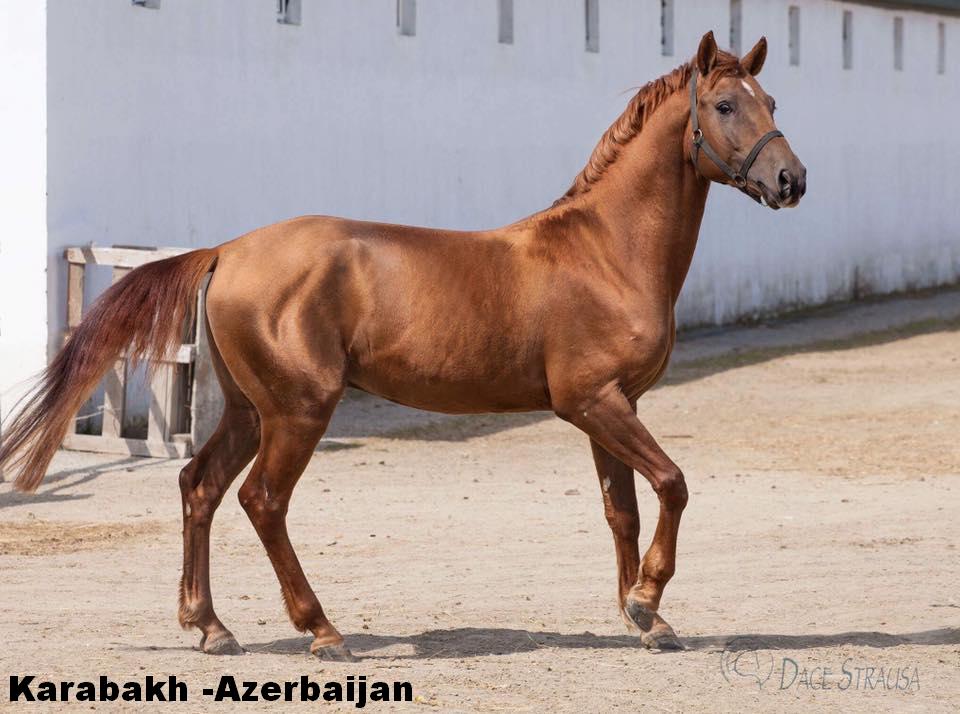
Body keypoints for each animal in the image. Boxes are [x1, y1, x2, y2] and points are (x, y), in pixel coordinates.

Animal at [0, 31, 805, 660]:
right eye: (725, 106)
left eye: (773, 101)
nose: (791, 179)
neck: (605, 251)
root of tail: (227, 251)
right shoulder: (593, 402)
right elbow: (672, 483)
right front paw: (645, 601)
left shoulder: (611, 406)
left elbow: (624, 511)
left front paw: (645, 617)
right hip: (299, 411)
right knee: (262, 501)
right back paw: (323, 632)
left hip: (250, 410)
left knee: (200, 486)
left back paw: (211, 628)